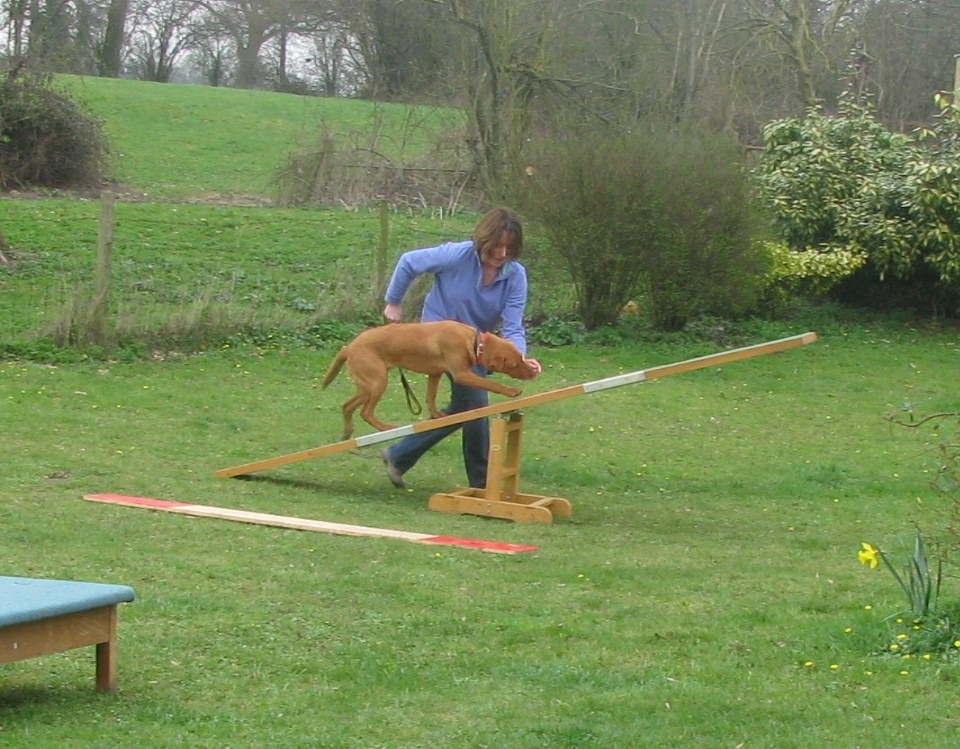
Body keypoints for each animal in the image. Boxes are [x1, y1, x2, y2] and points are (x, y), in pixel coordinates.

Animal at [322, 321, 536, 439]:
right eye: (515, 363)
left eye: (521, 358)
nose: (533, 372)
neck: (476, 342)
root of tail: (348, 347)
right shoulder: (461, 374)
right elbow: (491, 384)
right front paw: (511, 391)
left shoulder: (435, 374)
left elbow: (430, 397)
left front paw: (435, 415)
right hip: (378, 382)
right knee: (365, 412)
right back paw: (384, 427)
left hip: (366, 386)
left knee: (347, 406)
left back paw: (347, 432)